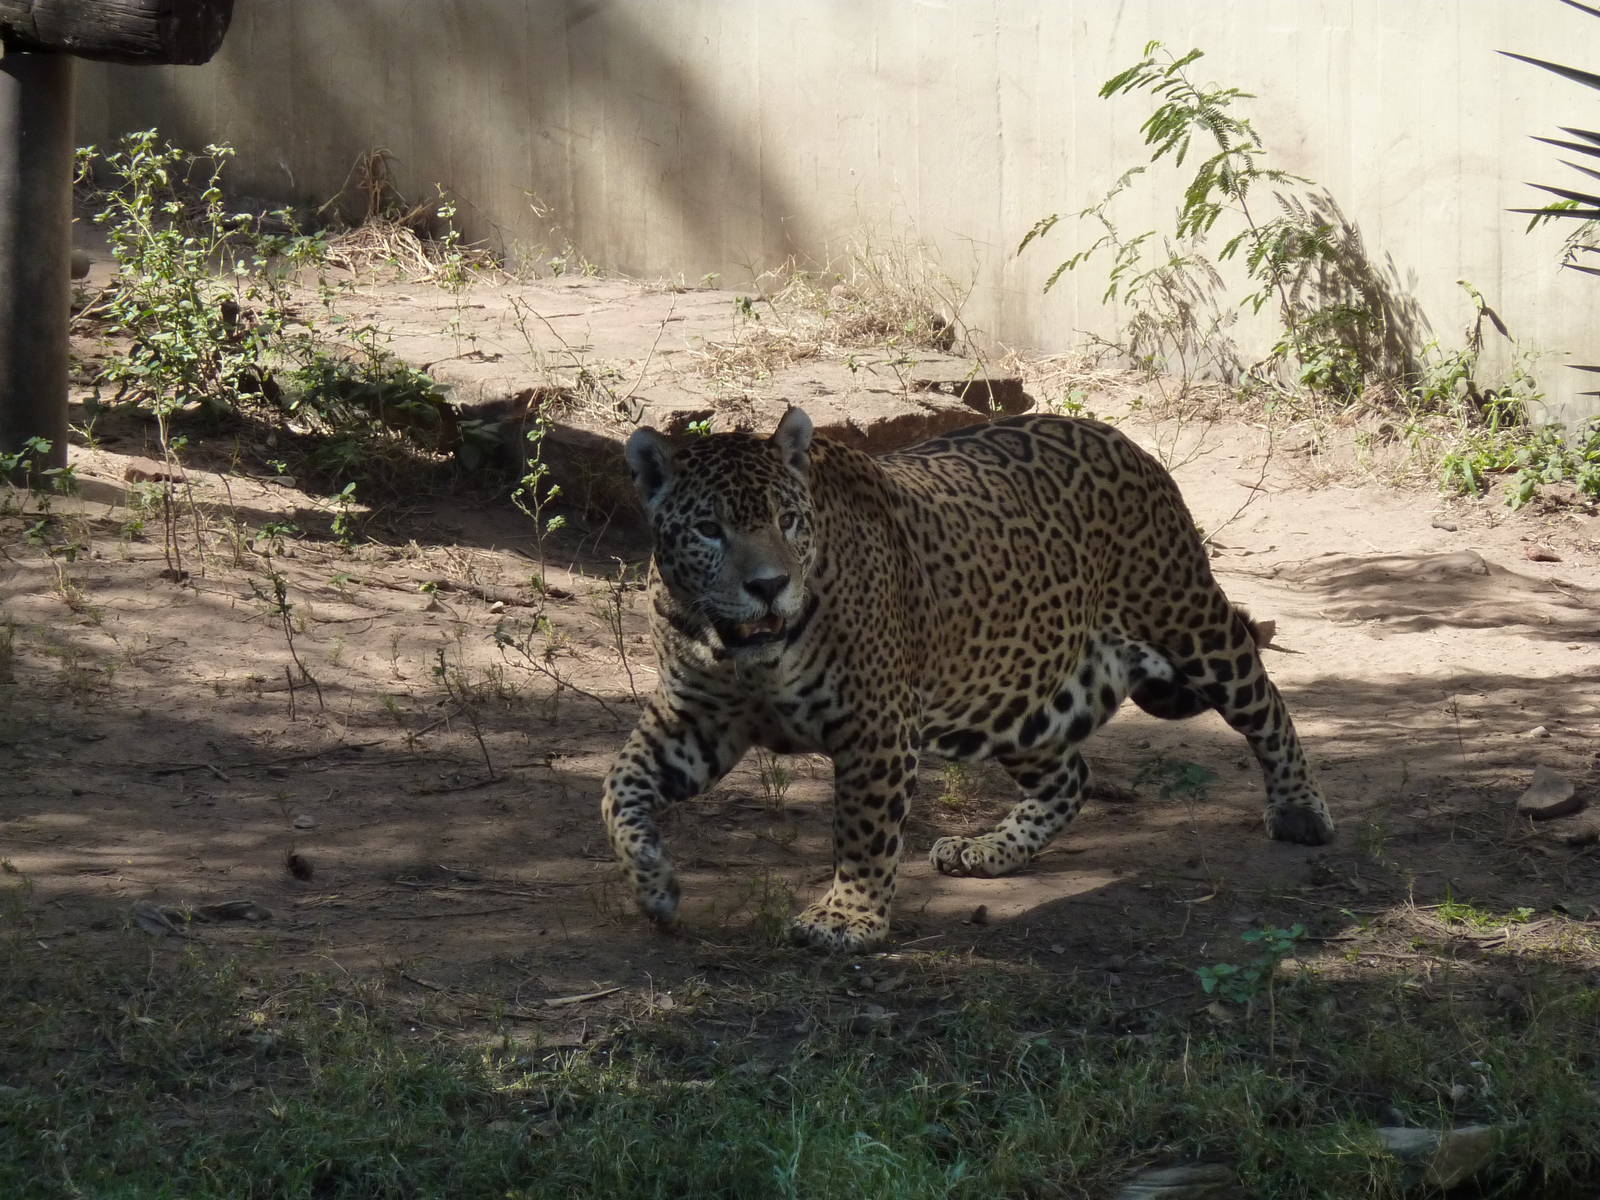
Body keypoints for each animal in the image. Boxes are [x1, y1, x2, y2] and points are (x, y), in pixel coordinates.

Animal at [602, 407, 1334, 952]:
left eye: (788, 520)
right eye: (708, 529)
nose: (769, 586)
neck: (738, 650)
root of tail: (1120, 438)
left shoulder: (875, 726)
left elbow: (863, 828)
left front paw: (847, 919)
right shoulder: (693, 720)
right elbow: (618, 788)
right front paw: (655, 885)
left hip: (1186, 618)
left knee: (1264, 699)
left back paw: (1300, 809)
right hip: (1015, 698)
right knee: (1072, 776)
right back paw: (987, 851)